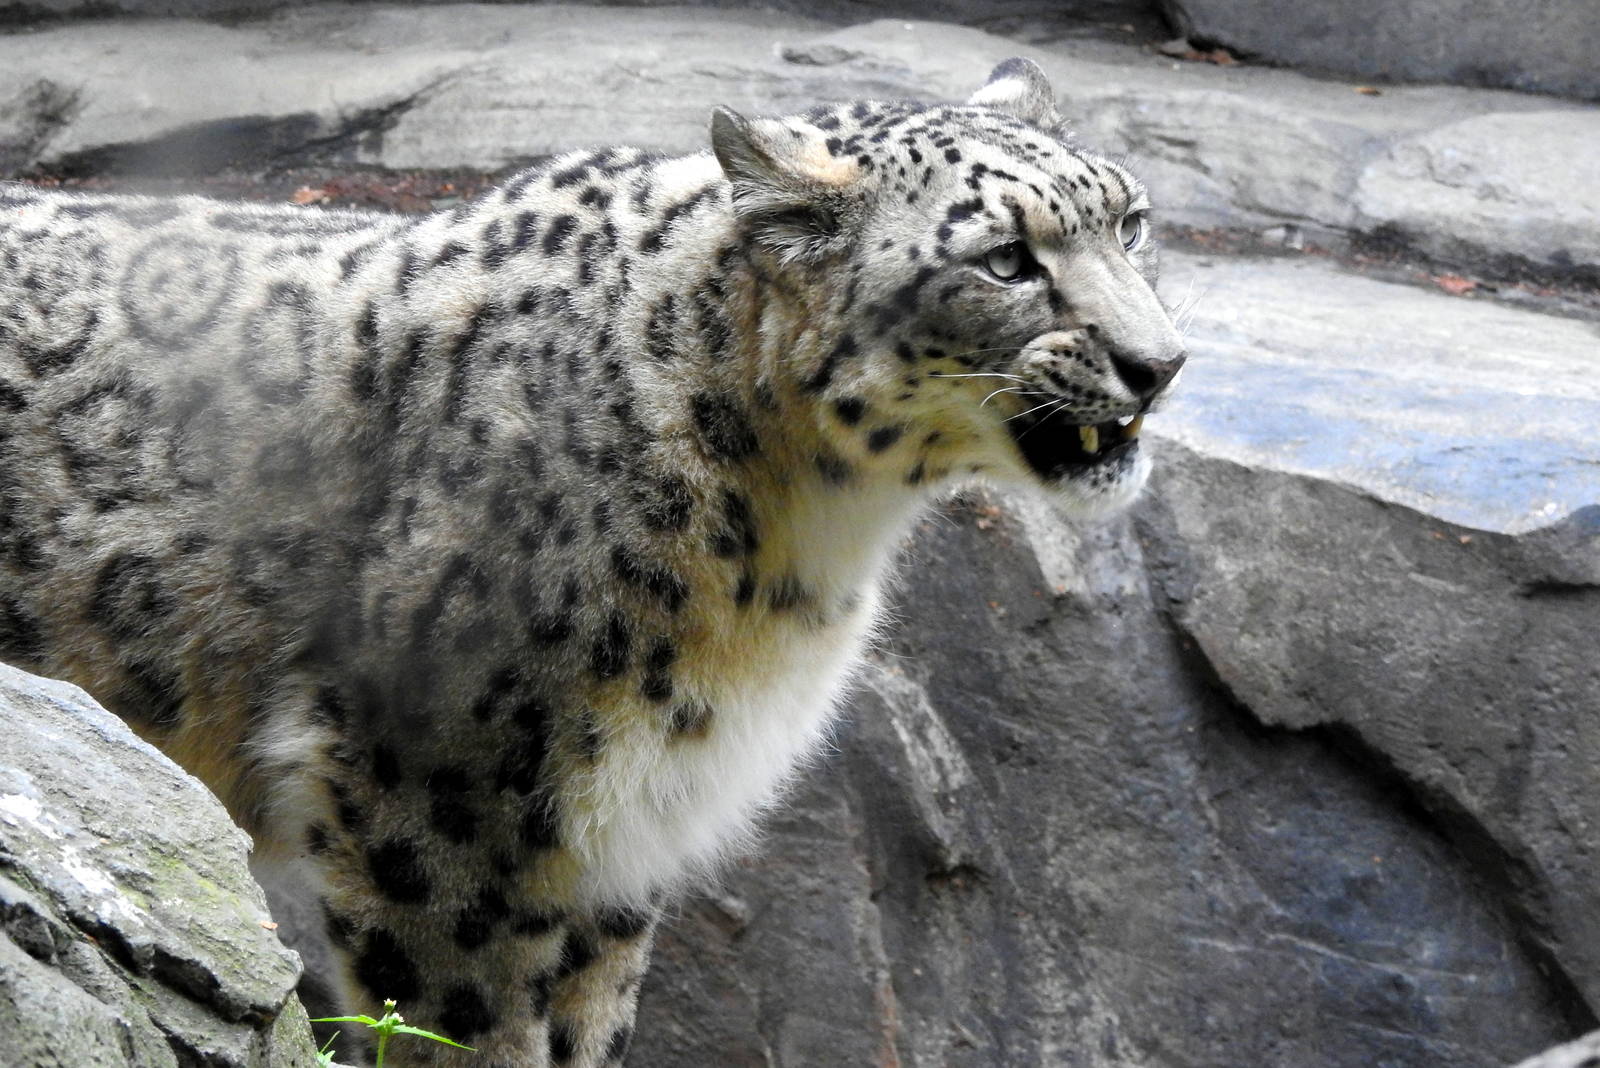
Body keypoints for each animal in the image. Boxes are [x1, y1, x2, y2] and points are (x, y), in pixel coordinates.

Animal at [0, 57, 1184, 1066]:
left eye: (1130, 222)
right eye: (1005, 260)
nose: (1161, 363)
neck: (796, 550)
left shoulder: (626, 836)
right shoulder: (445, 807)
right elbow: (469, 1028)